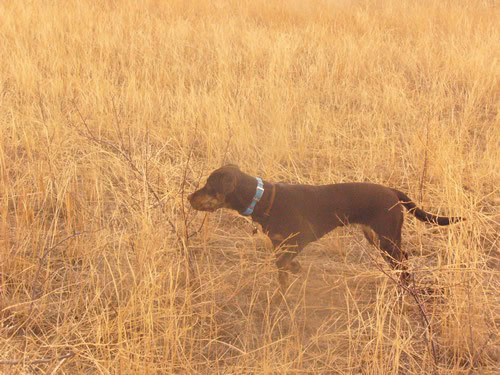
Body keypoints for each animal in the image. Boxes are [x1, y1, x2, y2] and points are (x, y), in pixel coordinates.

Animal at [188, 165, 464, 294]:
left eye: (209, 186)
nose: (190, 197)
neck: (264, 199)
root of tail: (393, 192)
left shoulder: (298, 239)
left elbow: (284, 265)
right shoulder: (282, 245)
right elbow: (283, 267)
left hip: (387, 238)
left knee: (404, 262)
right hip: (377, 237)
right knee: (402, 260)